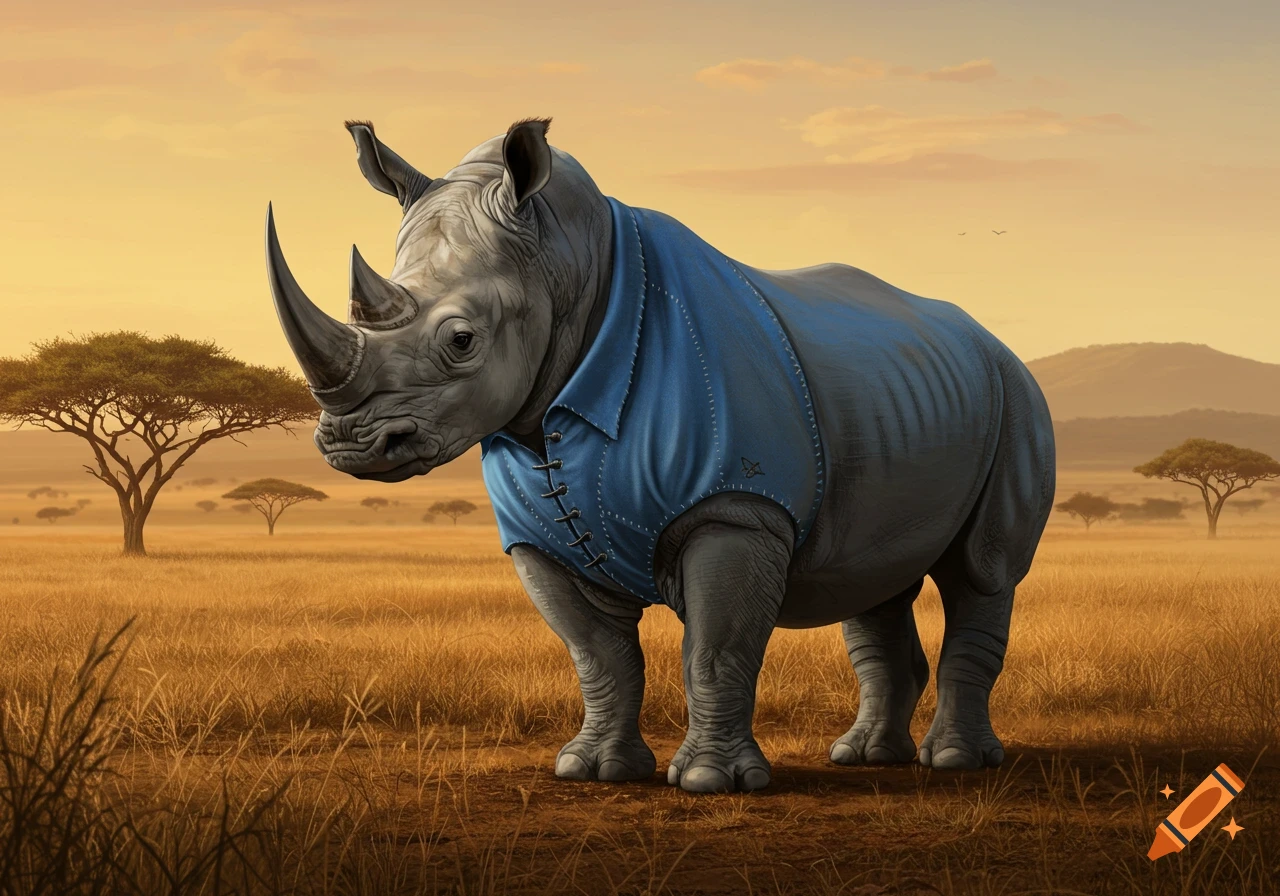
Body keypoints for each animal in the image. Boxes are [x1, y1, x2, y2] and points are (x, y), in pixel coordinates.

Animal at [265, 118, 1055, 793]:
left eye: (461, 340)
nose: (351, 444)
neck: (571, 266)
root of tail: (987, 339)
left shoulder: (735, 507)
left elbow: (716, 647)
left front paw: (710, 783)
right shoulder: (538, 536)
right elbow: (598, 655)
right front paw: (593, 771)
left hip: (1016, 395)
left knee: (981, 571)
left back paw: (954, 763)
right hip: (899, 402)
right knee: (871, 577)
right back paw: (863, 759)